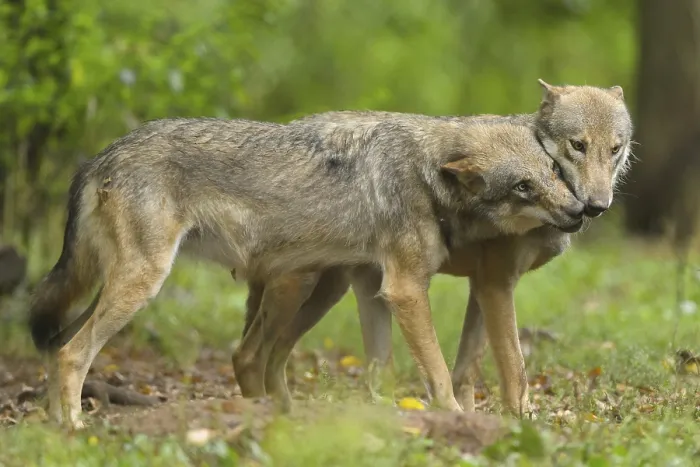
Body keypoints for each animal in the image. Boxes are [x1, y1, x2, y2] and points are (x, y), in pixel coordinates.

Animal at [27, 114, 583, 429]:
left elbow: (389, 369)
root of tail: (99, 157)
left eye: (553, 173)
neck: (426, 173)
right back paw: (74, 429)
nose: (580, 211)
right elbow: (440, 372)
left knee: (60, 346)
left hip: (307, 289)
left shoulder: (378, 290)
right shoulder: (405, 289)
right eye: (523, 188)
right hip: (150, 283)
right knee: (74, 353)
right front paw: (453, 417)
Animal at [240, 80, 633, 416]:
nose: (594, 207)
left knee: (269, 355)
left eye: (615, 149)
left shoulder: (484, 288)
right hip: (304, 287)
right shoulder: (495, 286)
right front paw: (522, 421)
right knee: (250, 355)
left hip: (329, 293)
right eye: (578, 145)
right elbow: (515, 369)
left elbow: (467, 371)